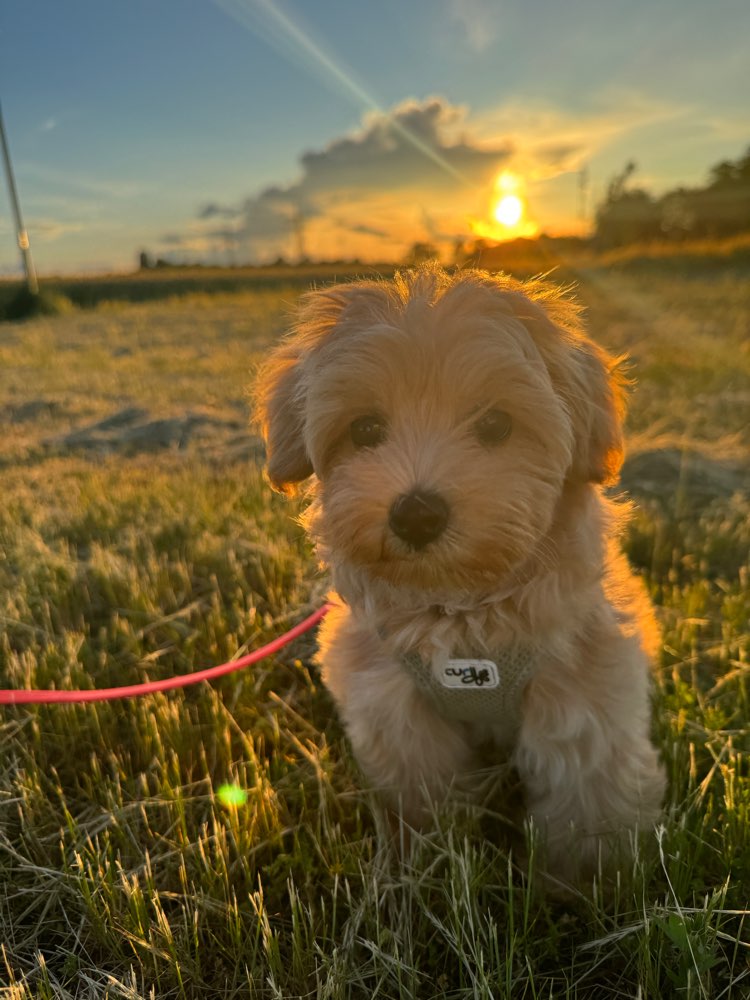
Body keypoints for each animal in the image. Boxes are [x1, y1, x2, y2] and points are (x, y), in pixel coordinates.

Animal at [256, 264, 668, 876]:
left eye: (496, 424)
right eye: (365, 429)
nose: (416, 513)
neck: (462, 610)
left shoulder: (583, 695)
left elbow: (587, 798)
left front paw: (590, 884)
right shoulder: (395, 709)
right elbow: (424, 797)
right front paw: (427, 863)